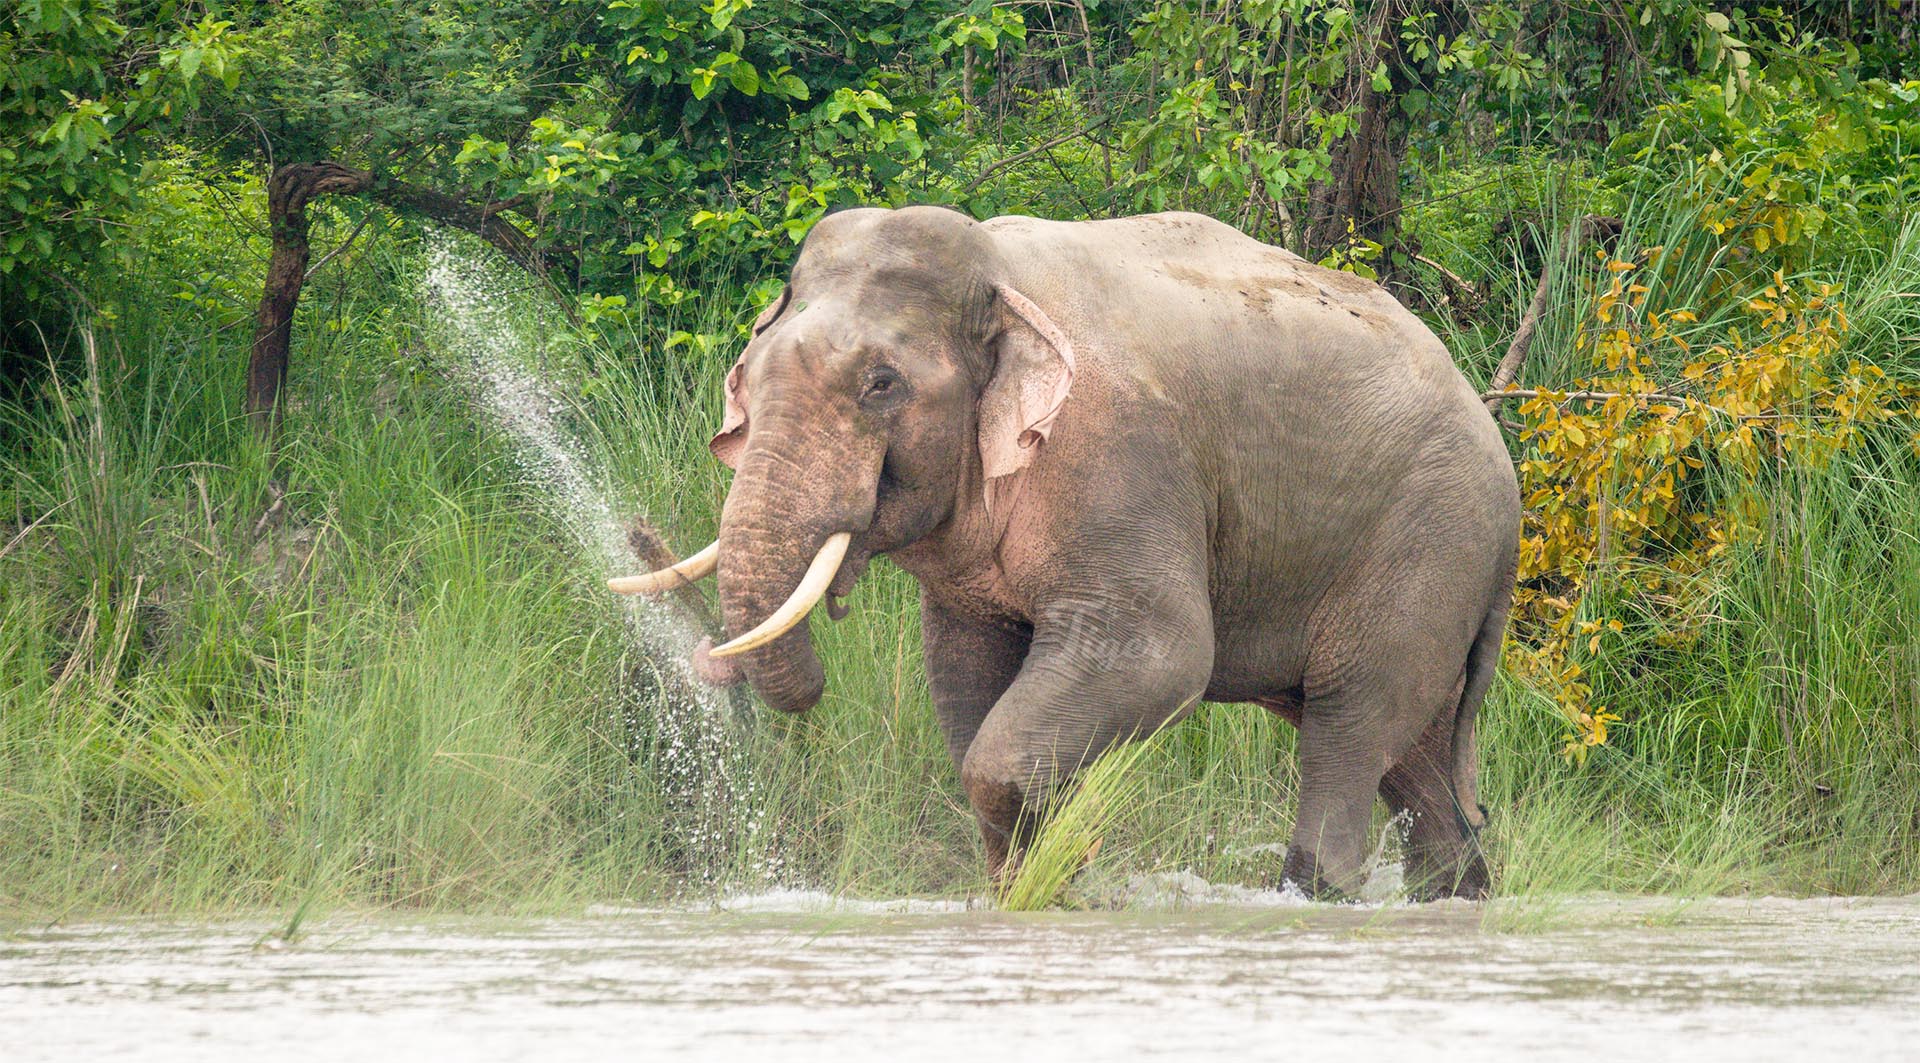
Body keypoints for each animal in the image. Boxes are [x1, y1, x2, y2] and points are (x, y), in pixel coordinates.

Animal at [612, 206, 1519, 900]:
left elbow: (1158, 655)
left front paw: (1052, 877)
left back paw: (1316, 892)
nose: (706, 661)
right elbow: (965, 671)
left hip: (1425, 542)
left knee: (1348, 727)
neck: (1001, 274)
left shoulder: (1125, 459)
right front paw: (1033, 882)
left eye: (881, 384)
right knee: (1417, 760)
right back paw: (1455, 892)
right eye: (747, 373)